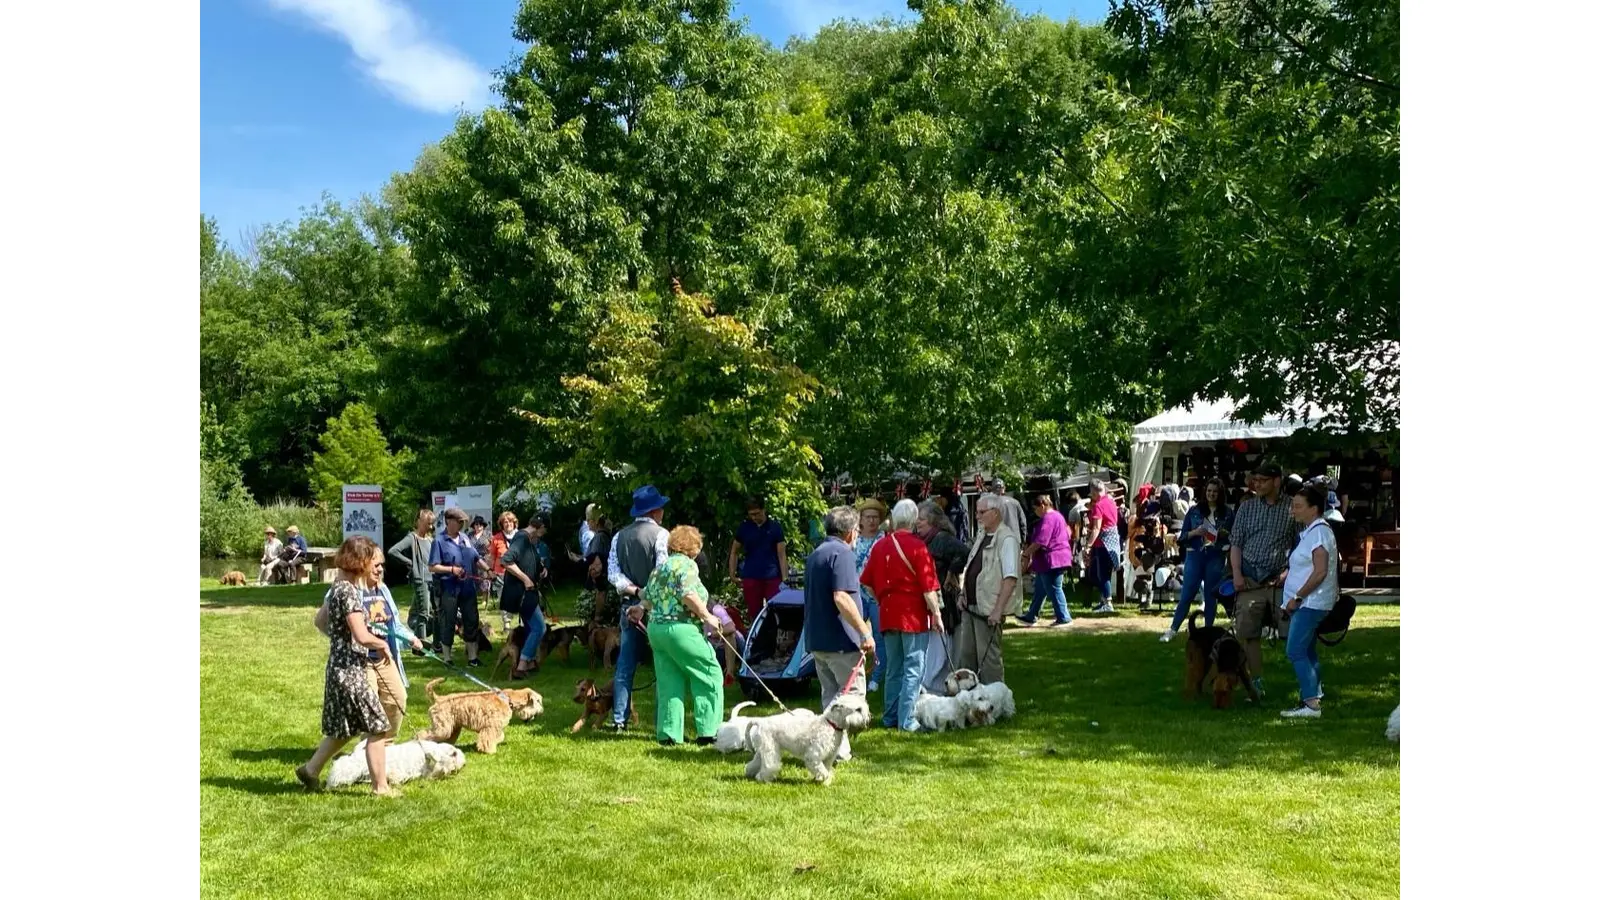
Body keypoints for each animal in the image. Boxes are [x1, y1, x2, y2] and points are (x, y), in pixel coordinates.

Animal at [412, 675, 544, 752]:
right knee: (422, 734)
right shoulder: (491, 727)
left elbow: (500, 736)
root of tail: (439, 698)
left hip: (453, 728)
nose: (542, 711)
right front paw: (489, 750)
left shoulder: (494, 727)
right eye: (538, 701)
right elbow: (490, 738)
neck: (507, 699)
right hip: (443, 728)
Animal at [742, 688, 870, 781]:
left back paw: (750, 774)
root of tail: (760, 721)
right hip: (771, 751)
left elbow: (826, 767)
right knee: (768, 766)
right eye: (858, 709)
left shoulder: (829, 756)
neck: (831, 724)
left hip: (763, 750)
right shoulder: (813, 756)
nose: (869, 718)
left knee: (753, 764)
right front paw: (825, 779)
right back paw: (763, 779)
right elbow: (821, 769)